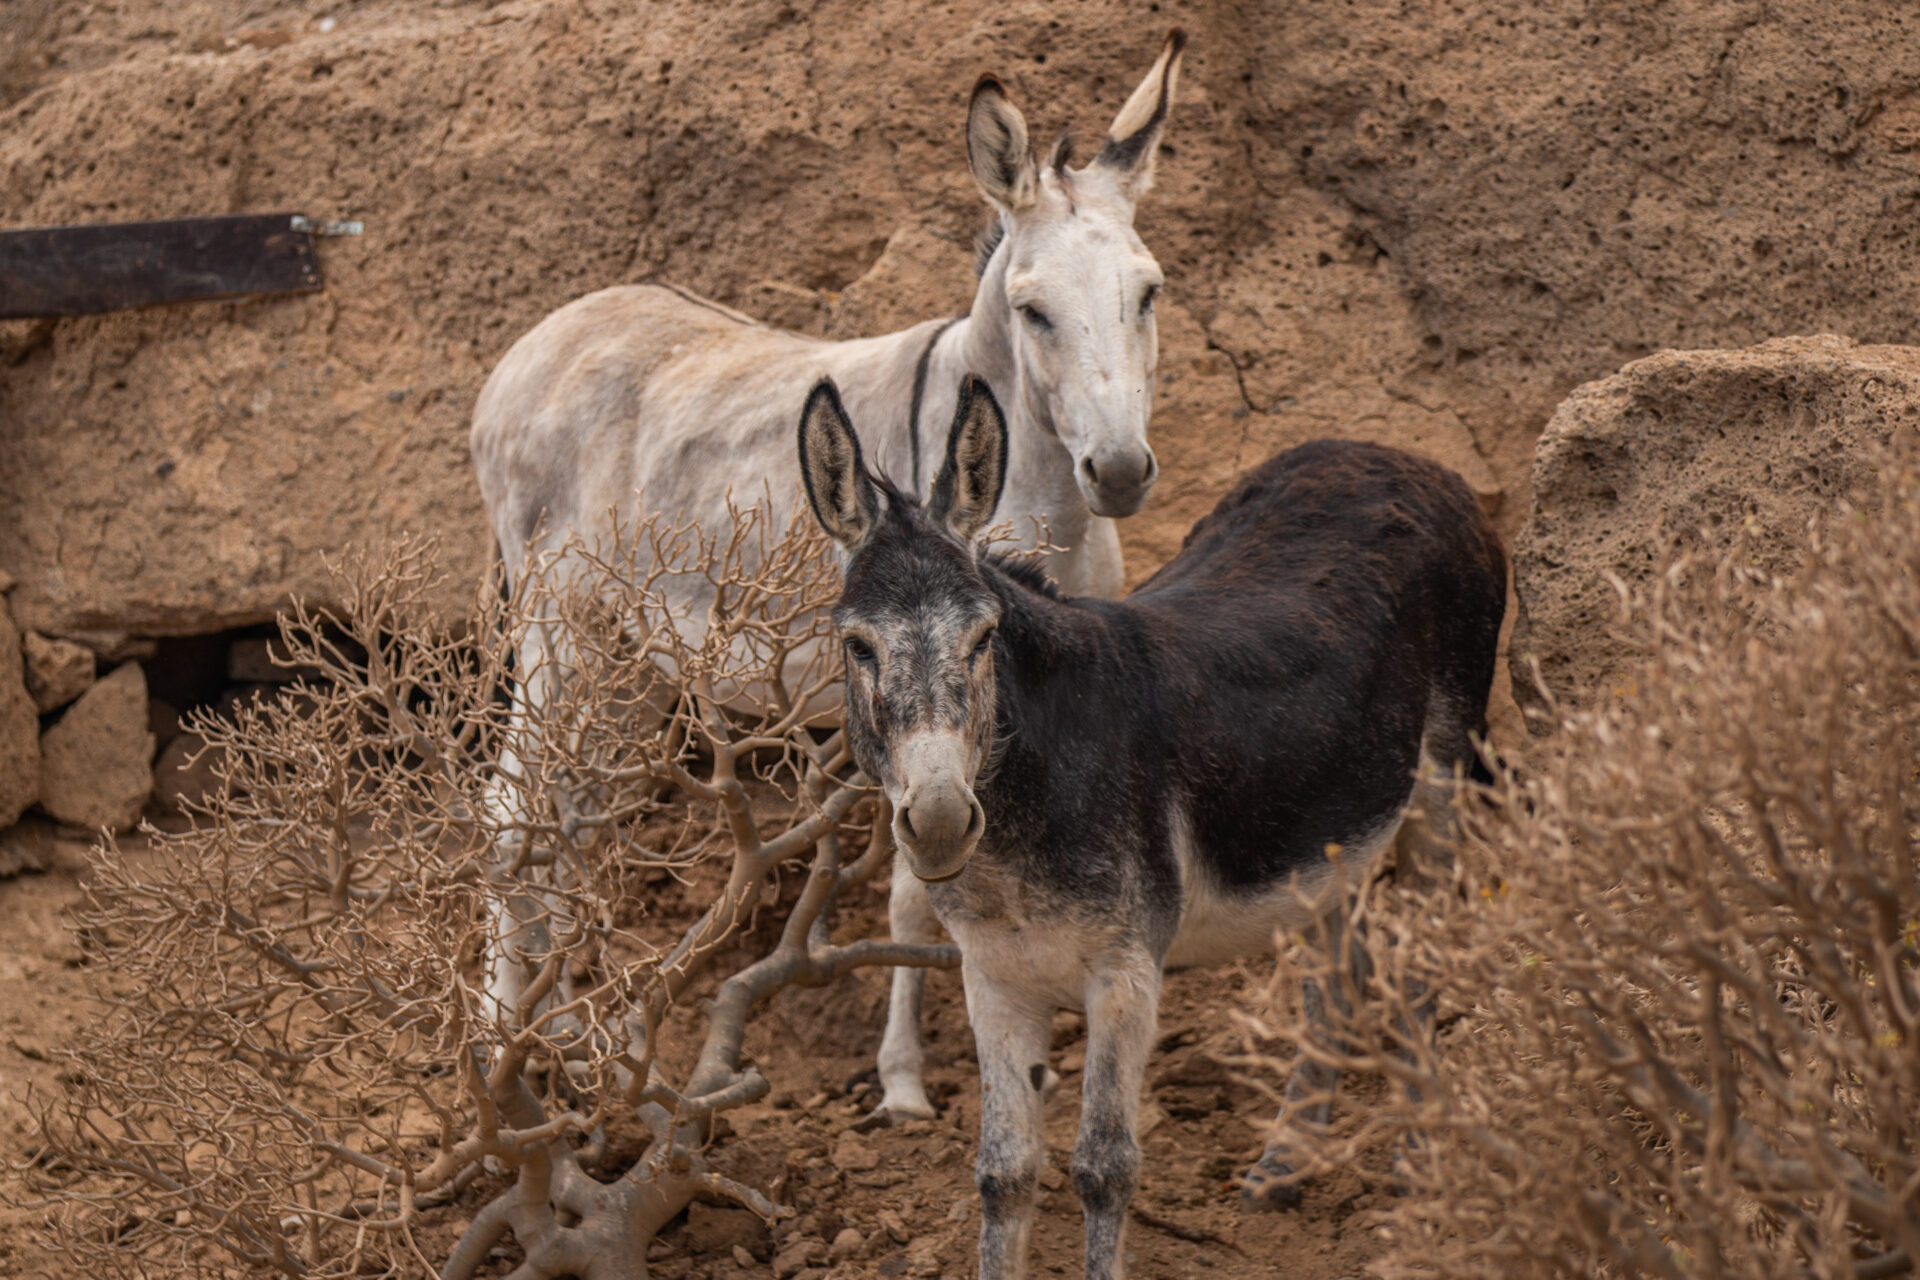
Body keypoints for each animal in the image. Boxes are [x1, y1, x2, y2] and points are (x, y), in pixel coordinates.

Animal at [468, 35, 1188, 1094]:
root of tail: (539, 338)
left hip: (627, 657)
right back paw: (495, 1043)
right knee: (514, 809)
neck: (1039, 483)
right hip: (557, 630)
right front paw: (903, 1080)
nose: (1123, 472)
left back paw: (560, 1035)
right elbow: (916, 894)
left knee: (577, 818)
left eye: (1149, 292)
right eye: (1034, 312)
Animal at [798, 374, 1506, 1279]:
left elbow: (1104, 1167)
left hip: (1441, 789)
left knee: (1414, 968)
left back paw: (1420, 1158)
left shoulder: (1126, 972)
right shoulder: (995, 980)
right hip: (1324, 833)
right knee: (1335, 972)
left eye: (984, 635)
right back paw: (1286, 1164)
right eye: (857, 646)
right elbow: (1003, 1173)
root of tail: (1396, 455)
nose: (942, 819)